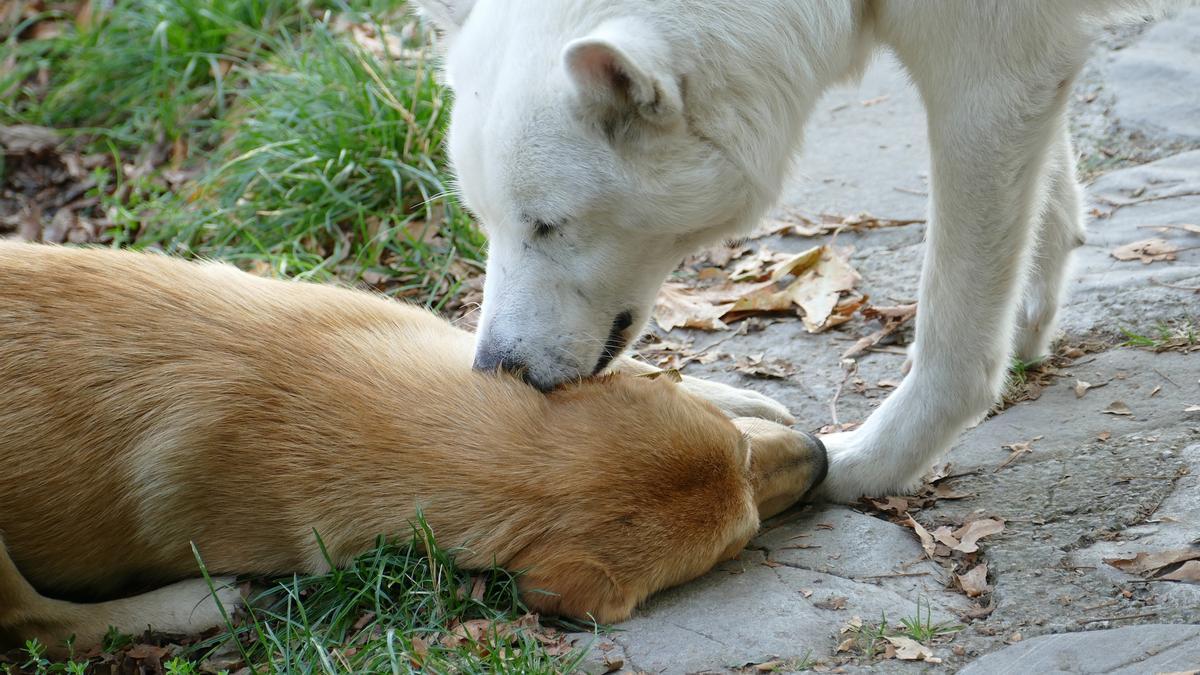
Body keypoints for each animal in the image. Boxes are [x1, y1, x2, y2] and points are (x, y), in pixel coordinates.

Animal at [0, 240, 825, 648]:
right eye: (741, 537)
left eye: (740, 451)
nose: (820, 454)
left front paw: (736, 390)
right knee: (40, 624)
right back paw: (200, 602)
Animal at [408, 0, 1176, 494]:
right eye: (486, 223)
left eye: (547, 226)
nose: (496, 369)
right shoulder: (1030, 80)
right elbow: (1045, 208)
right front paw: (1027, 327)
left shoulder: (986, 77)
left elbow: (955, 328)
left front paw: (871, 464)